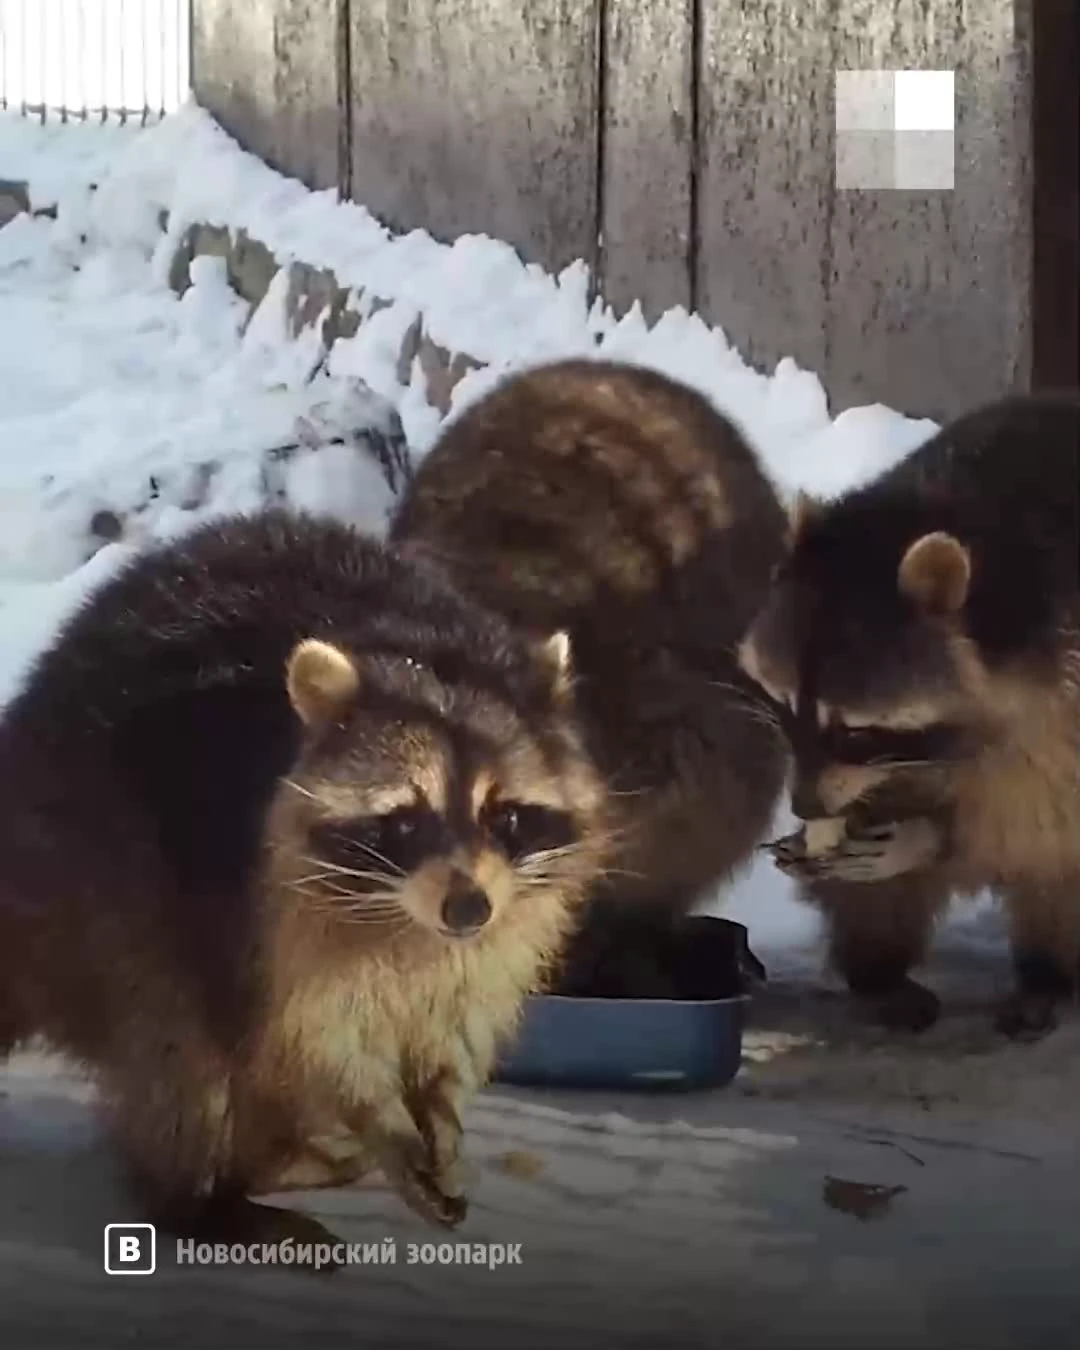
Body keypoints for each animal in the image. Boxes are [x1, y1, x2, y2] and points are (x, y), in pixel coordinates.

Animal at [0, 507, 607, 1242]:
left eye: (506, 815)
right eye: (407, 820)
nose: (466, 910)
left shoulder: (508, 916)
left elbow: (458, 1013)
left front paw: (441, 1104)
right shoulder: (266, 899)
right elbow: (312, 1037)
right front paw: (383, 1119)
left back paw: (275, 1162)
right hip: (101, 859)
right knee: (178, 1036)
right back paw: (198, 1201)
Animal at [739, 386, 1080, 1036]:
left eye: (854, 730)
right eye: (783, 705)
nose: (804, 807)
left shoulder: (1063, 684)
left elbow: (1041, 815)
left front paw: (931, 838)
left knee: (1054, 866)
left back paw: (1047, 974)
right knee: (877, 902)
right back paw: (877, 971)